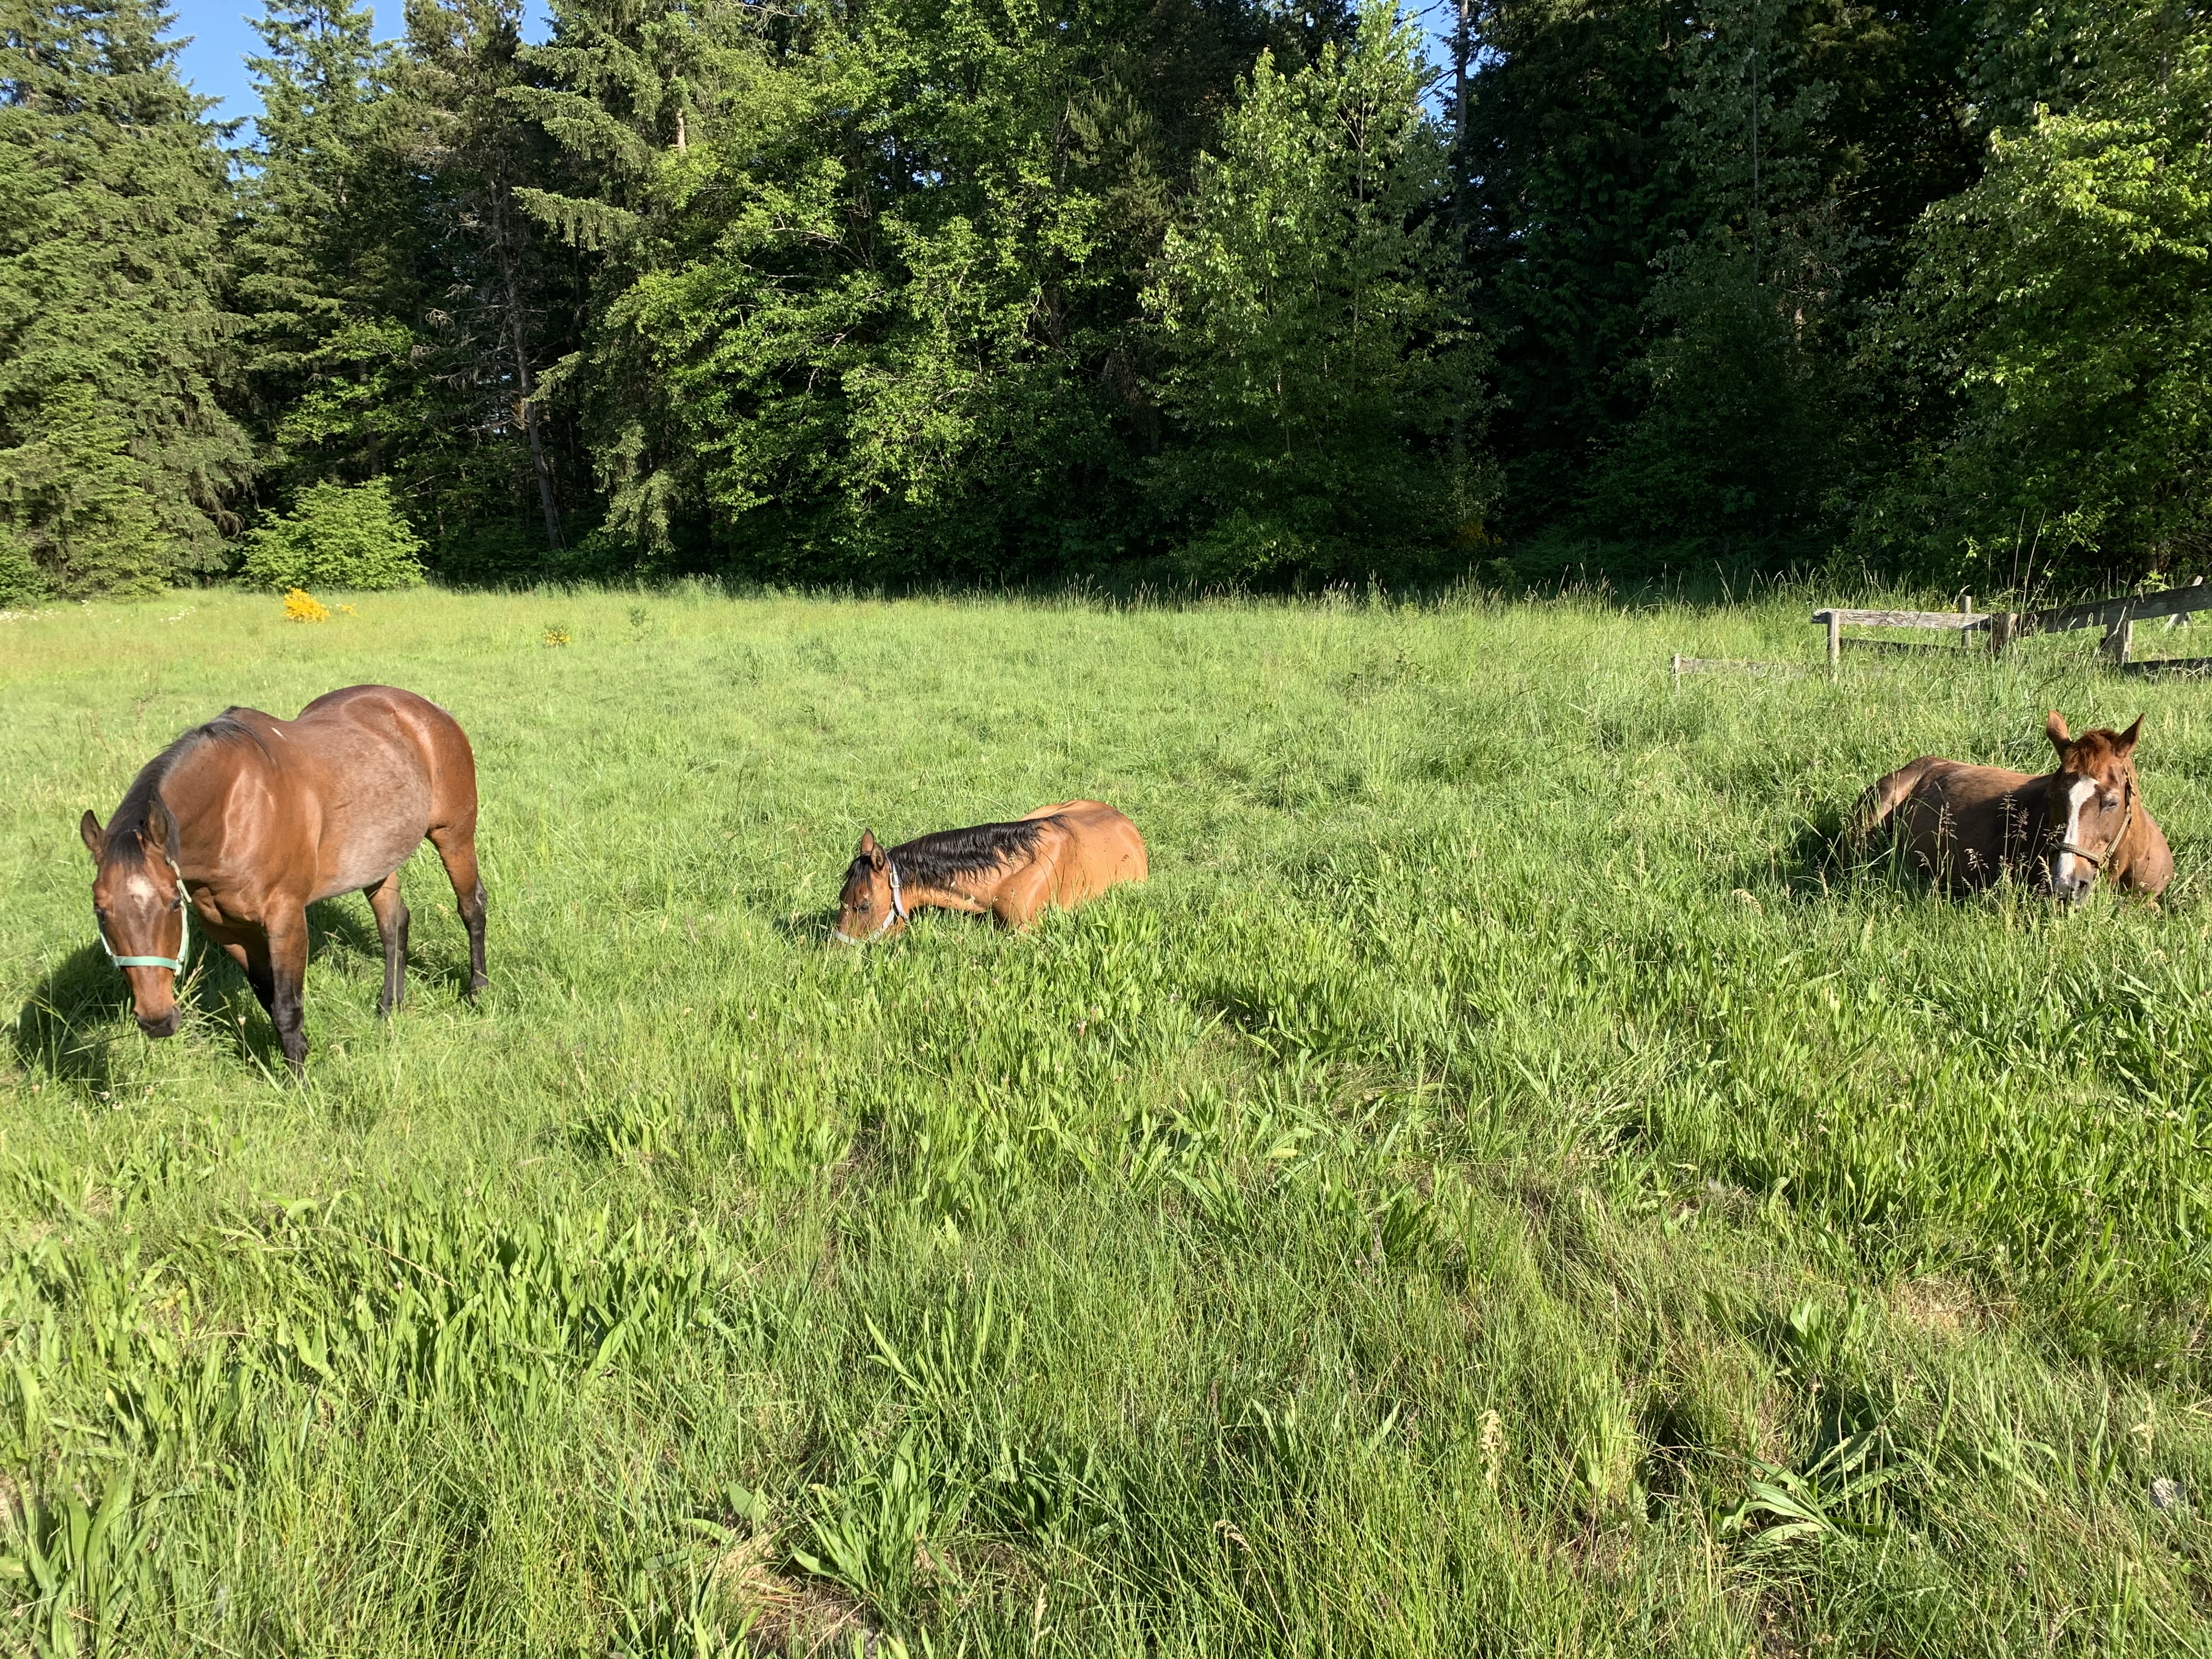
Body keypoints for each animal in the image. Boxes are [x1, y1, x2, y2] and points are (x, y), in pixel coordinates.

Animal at [79, 685, 488, 1077]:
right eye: (100, 911)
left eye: (173, 902)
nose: (157, 1019)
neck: (234, 812)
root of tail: (425, 710)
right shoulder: (229, 929)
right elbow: (268, 996)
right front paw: (297, 1056)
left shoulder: (286, 919)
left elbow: (288, 1006)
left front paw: (299, 1083)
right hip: (377, 857)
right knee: (393, 925)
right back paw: (390, 1007)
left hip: (453, 836)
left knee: (472, 907)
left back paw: (478, 991)